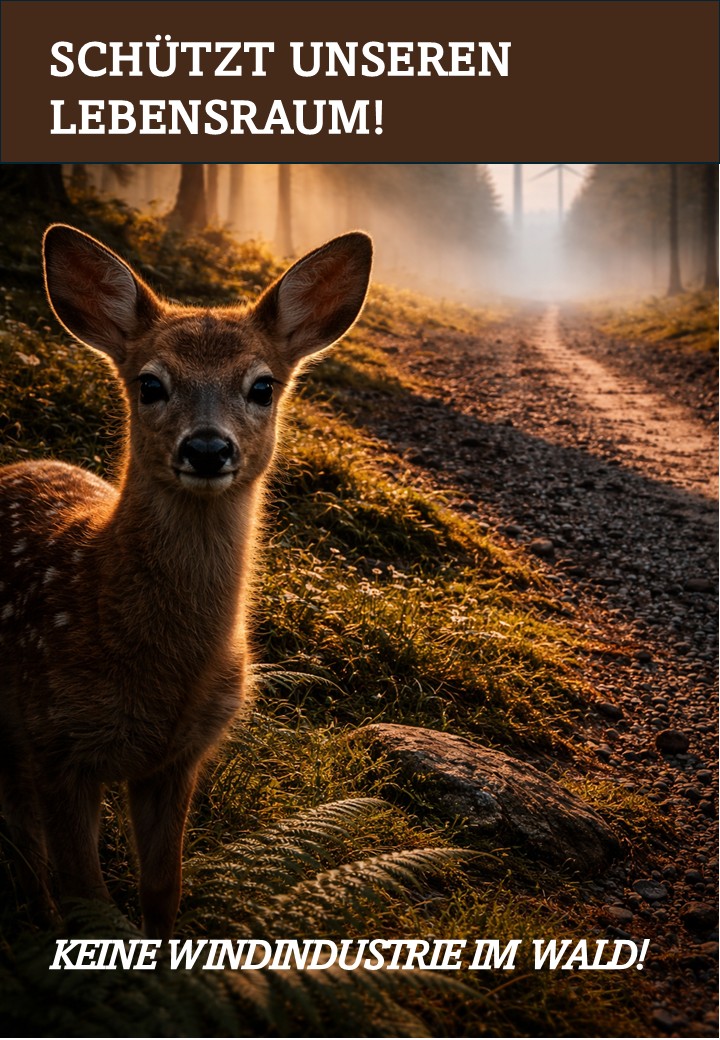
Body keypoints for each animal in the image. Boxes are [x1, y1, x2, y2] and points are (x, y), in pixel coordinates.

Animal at [0, 223, 373, 940]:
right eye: (150, 383)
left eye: (262, 386)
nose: (206, 448)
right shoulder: (55, 743)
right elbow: (89, 901)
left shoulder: (180, 759)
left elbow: (162, 892)